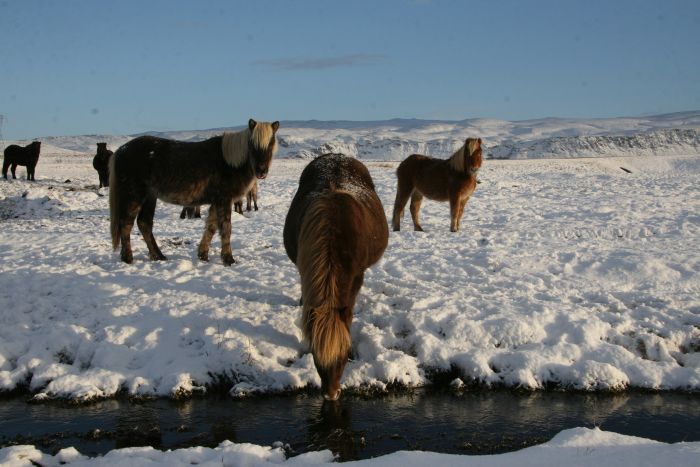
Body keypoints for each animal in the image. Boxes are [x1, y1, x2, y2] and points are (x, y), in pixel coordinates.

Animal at [109, 119, 278, 266]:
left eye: (270, 144)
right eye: (252, 145)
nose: (261, 171)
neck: (230, 162)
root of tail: (121, 150)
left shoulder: (217, 201)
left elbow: (211, 227)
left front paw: (203, 255)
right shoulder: (224, 200)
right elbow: (226, 228)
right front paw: (228, 259)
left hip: (150, 197)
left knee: (144, 223)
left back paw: (158, 256)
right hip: (134, 196)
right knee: (126, 224)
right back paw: (128, 258)